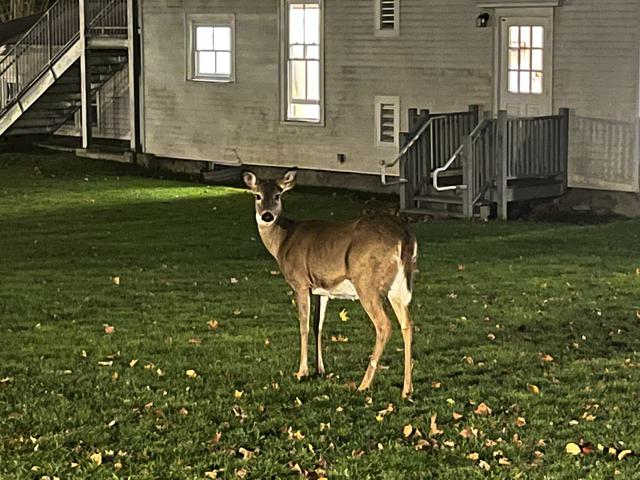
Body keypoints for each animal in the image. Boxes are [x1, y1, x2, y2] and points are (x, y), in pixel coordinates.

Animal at [243, 168, 418, 398]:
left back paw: (364, 384)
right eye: (258, 196)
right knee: (407, 323)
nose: (267, 215)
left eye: (278, 195)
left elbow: (303, 325)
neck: (283, 240)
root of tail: (404, 237)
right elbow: (318, 325)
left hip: (366, 282)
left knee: (384, 325)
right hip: (396, 287)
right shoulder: (322, 290)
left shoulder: (300, 282)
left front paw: (302, 372)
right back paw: (407, 389)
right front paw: (320, 369)